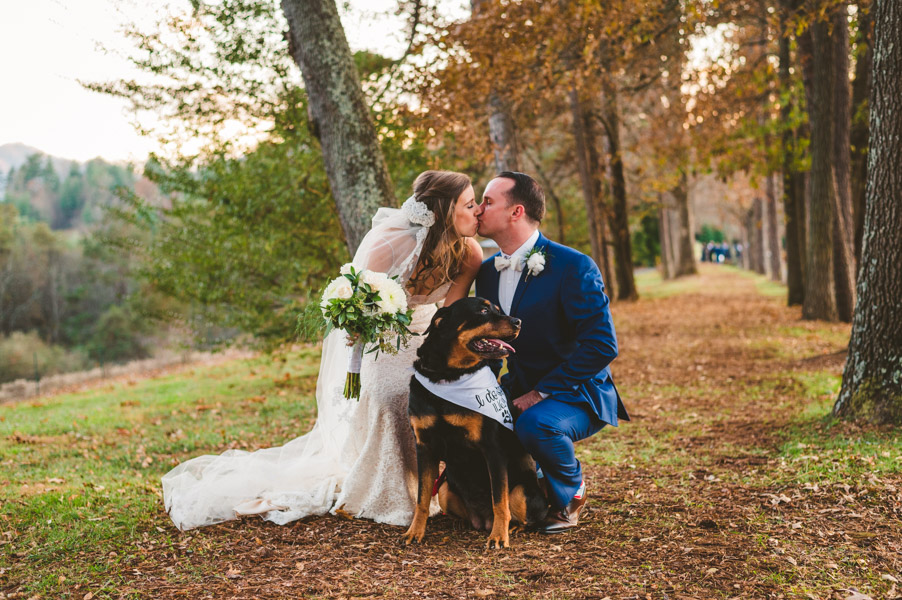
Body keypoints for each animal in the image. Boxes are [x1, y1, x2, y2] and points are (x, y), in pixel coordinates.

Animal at [404, 296, 548, 548]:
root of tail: (482, 520)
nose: (518, 321)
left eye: (497, 310)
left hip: (521, 491)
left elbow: (499, 500)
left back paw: (512, 528)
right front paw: (415, 532)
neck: (448, 376)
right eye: (482, 311)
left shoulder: (492, 448)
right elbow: (422, 498)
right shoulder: (424, 446)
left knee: (522, 515)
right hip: (444, 489)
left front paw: (499, 536)